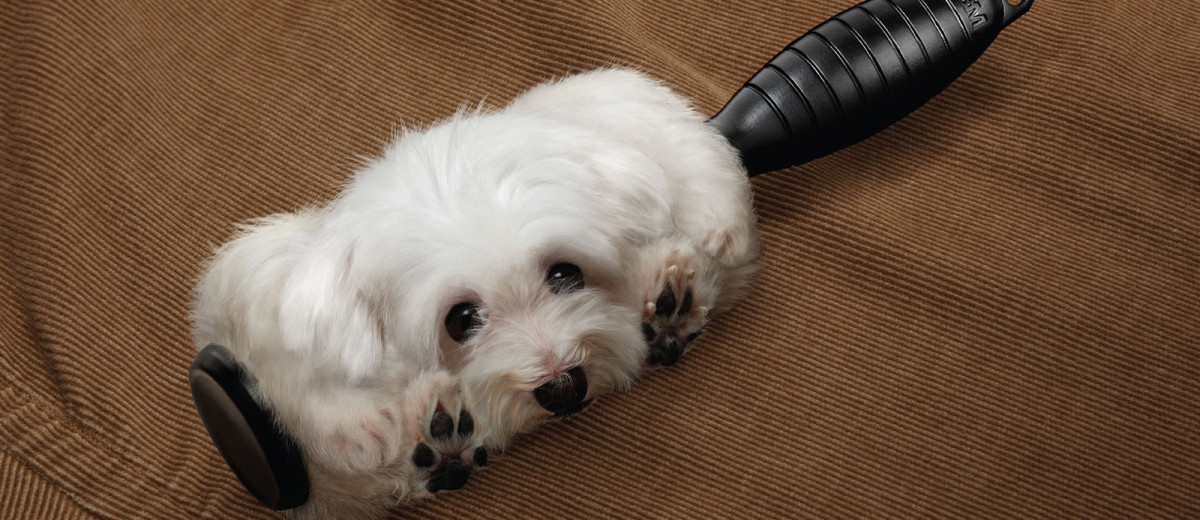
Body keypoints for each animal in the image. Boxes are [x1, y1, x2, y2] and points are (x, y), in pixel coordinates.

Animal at [194, 69, 758, 518]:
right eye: (461, 319)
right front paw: (354, 417)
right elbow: (276, 338)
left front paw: (707, 230)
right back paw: (436, 439)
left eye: (565, 274)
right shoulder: (255, 283)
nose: (563, 388)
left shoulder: (597, 111)